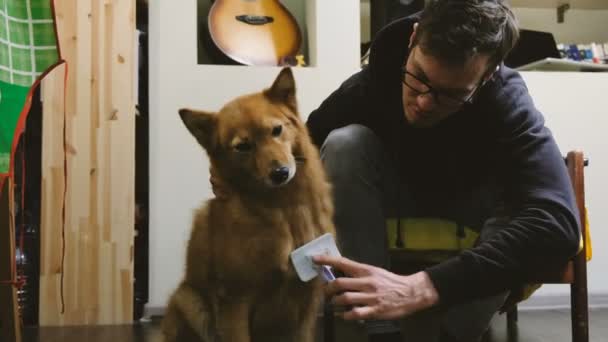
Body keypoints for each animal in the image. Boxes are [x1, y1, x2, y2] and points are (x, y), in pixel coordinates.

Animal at [160, 67, 338, 342]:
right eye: (243, 146)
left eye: (277, 130)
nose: (280, 173)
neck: (284, 208)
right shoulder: (235, 301)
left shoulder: (307, 303)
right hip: (189, 300)